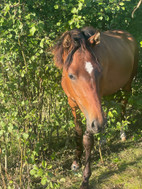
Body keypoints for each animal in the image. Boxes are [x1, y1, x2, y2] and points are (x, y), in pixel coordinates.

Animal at [52, 26, 138, 189]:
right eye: (71, 75)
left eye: (99, 70)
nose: (98, 124)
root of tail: (128, 35)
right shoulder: (73, 103)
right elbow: (78, 131)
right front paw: (76, 162)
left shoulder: (90, 112)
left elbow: (88, 138)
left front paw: (85, 178)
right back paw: (103, 137)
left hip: (127, 86)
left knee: (122, 106)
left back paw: (122, 132)